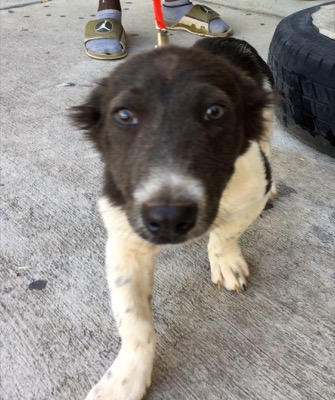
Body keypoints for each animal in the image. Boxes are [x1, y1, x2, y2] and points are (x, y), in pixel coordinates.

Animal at [71, 38, 276, 400]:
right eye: (124, 115)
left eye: (215, 111)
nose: (167, 219)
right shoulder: (125, 237)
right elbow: (134, 321)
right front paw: (124, 379)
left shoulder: (253, 192)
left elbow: (227, 233)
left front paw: (225, 260)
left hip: (268, 114)